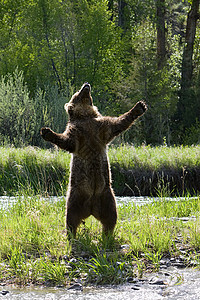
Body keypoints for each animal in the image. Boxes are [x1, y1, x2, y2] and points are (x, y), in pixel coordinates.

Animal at [40, 82, 147, 237]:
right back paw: (71, 235)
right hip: (75, 196)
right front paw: (47, 132)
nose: (86, 84)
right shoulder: (77, 132)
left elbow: (118, 124)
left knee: (111, 217)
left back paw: (107, 234)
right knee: (70, 218)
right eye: (77, 91)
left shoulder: (100, 127)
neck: (86, 117)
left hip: (107, 196)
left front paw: (139, 107)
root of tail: (91, 208)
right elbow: (68, 142)